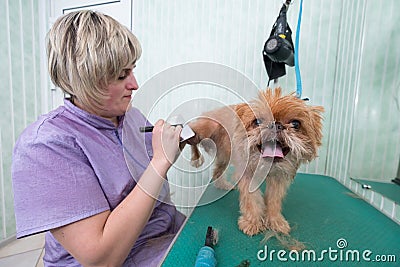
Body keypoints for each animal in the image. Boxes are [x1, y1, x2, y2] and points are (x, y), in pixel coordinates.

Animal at [186, 88, 324, 237]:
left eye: (295, 124)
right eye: (257, 121)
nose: (276, 125)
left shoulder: (278, 178)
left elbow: (274, 200)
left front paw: (275, 221)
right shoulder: (247, 175)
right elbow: (251, 200)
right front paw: (252, 222)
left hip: (225, 155)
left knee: (217, 171)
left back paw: (222, 184)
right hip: (207, 128)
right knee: (193, 139)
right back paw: (195, 156)